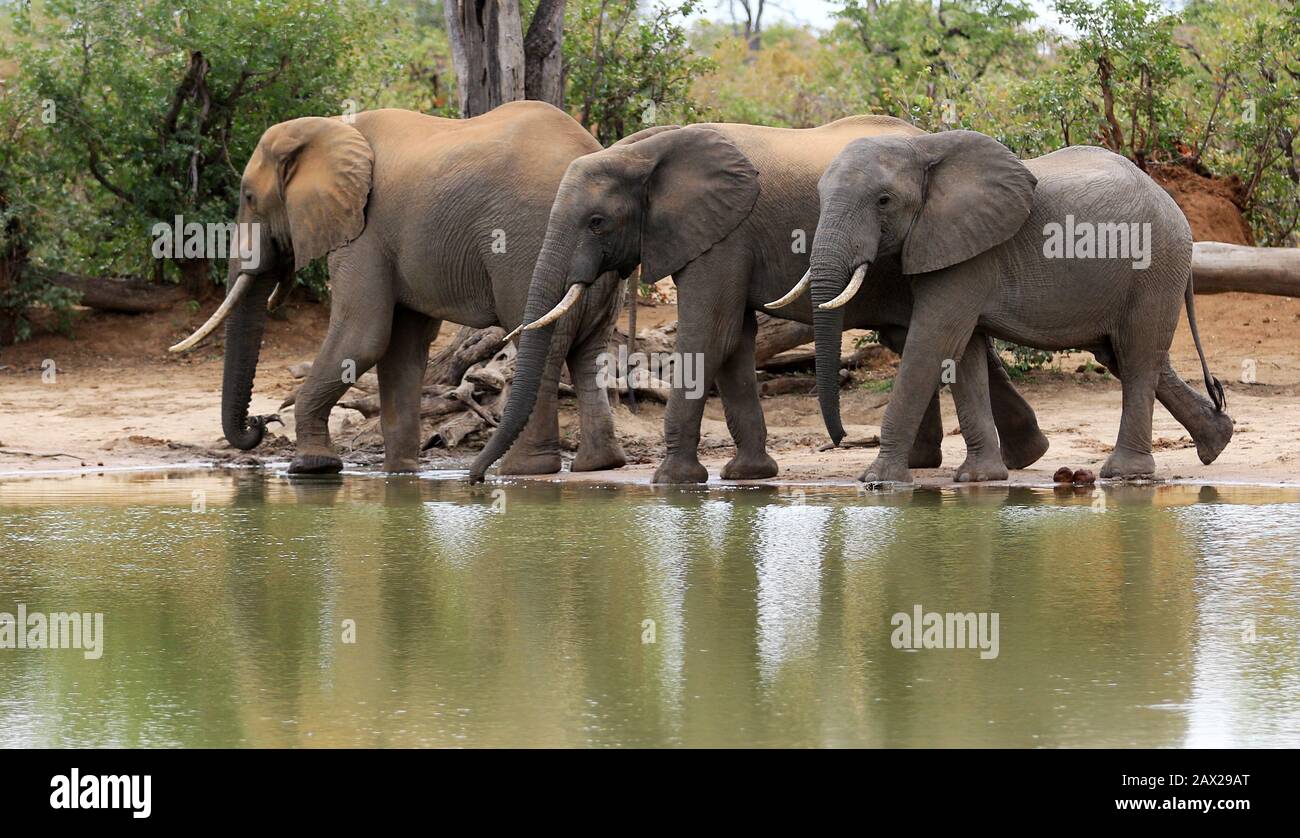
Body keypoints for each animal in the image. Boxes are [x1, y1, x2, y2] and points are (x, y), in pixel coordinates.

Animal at [169, 101, 629, 472]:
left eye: (249, 197)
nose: (261, 423)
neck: (330, 126)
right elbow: (400, 348)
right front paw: (401, 475)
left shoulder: (365, 230)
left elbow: (362, 337)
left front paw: (311, 469)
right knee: (589, 352)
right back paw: (598, 465)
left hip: (526, 245)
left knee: (542, 348)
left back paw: (523, 471)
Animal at [470, 117, 1055, 483]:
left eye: (596, 222)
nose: (476, 481)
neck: (647, 151)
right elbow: (736, 339)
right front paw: (746, 476)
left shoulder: (725, 235)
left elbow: (712, 330)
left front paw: (671, 481)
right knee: (923, 337)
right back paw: (996, 456)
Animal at [795, 130, 1232, 483]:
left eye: (884, 201)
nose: (840, 439)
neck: (924, 149)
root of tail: (1175, 209)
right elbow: (963, 353)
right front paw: (978, 480)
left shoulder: (969, 254)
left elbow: (932, 343)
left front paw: (878, 482)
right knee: (1126, 356)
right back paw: (1218, 441)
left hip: (1154, 267)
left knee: (1137, 356)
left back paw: (1126, 474)